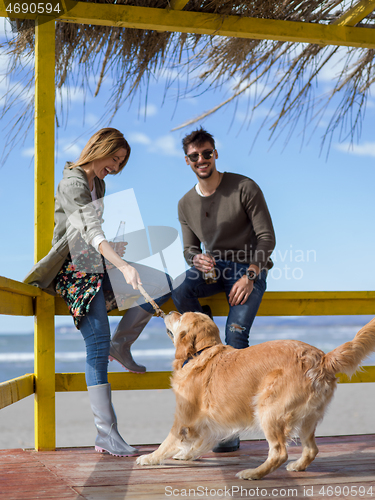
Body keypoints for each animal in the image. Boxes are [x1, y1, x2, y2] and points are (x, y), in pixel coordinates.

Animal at [137, 312, 375, 480]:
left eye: (180, 316)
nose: (169, 311)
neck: (201, 352)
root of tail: (322, 358)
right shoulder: (210, 419)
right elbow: (202, 440)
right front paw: (186, 454)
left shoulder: (183, 417)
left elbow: (168, 441)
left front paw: (150, 457)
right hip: (308, 418)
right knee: (311, 449)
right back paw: (297, 466)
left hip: (268, 410)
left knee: (279, 452)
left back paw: (253, 474)